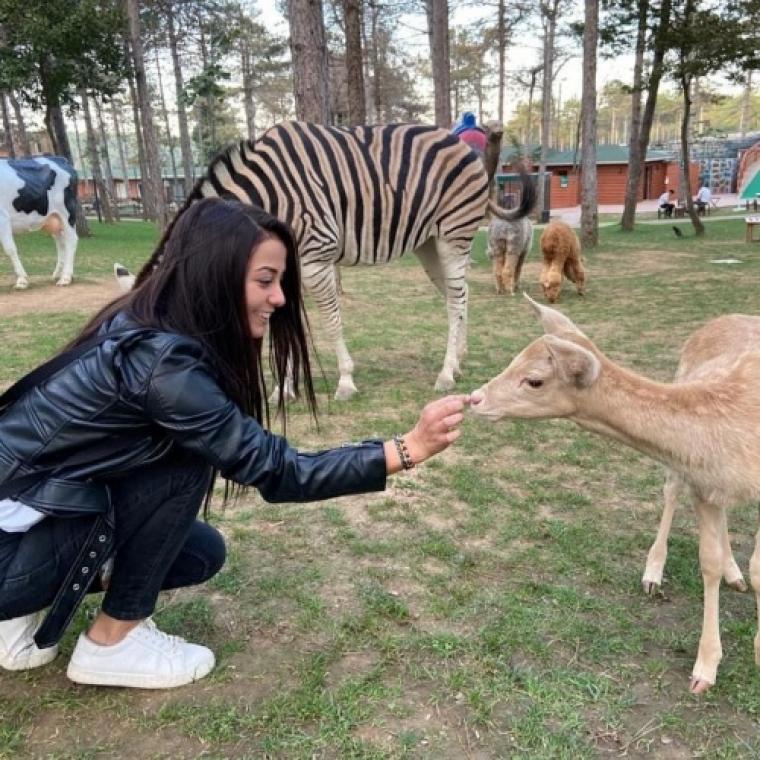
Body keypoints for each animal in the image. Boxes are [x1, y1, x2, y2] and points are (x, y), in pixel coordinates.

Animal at [0, 154, 78, 288]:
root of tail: (60, 159)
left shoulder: (3, 217)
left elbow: (10, 248)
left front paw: (22, 279)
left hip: (68, 213)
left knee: (71, 240)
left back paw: (65, 277)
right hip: (53, 219)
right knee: (61, 242)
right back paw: (57, 274)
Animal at [140, 120, 512, 398]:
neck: (268, 198)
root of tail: (459, 142)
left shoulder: (316, 256)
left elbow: (331, 321)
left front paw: (345, 381)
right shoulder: (285, 266)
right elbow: (285, 324)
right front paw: (284, 389)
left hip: (453, 235)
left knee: (456, 300)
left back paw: (446, 373)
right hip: (428, 243)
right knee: (458, 296)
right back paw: (460, 359)